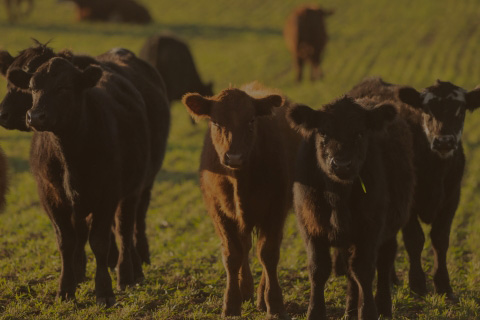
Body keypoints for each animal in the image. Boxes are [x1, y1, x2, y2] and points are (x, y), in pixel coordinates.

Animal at [9, 57, 152, 304]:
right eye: (33, 87)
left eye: (63, 87)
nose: (35, 116)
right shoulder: (51, 198)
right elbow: (66, 242)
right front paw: (65, 288)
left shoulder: (108, 196)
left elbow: (100, 242)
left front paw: (104, 291)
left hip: (132, 192)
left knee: (124, 231)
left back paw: (127, 275)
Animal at [183, 82, 300, 318]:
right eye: (215, 122)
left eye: (251, 120)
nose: (234, 157)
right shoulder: (219, 212)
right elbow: (232, 255)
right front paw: (231, 304)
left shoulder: (275, 210)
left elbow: (268, 254)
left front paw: (274, 304)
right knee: (245, 247)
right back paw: (245, 288)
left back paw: (261, 296)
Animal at [288, 96, 416, 318]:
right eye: (323, 132)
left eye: (360, 132)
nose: (341, 164)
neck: (337, 197)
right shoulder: (310, 227)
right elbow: (318, 269)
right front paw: (315, 312)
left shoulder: (370, 229)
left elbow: (364, 270)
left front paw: (369, 312)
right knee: (349, 270)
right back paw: (349, 310)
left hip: (390, 229)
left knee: (384, 262)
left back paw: (384, 307)